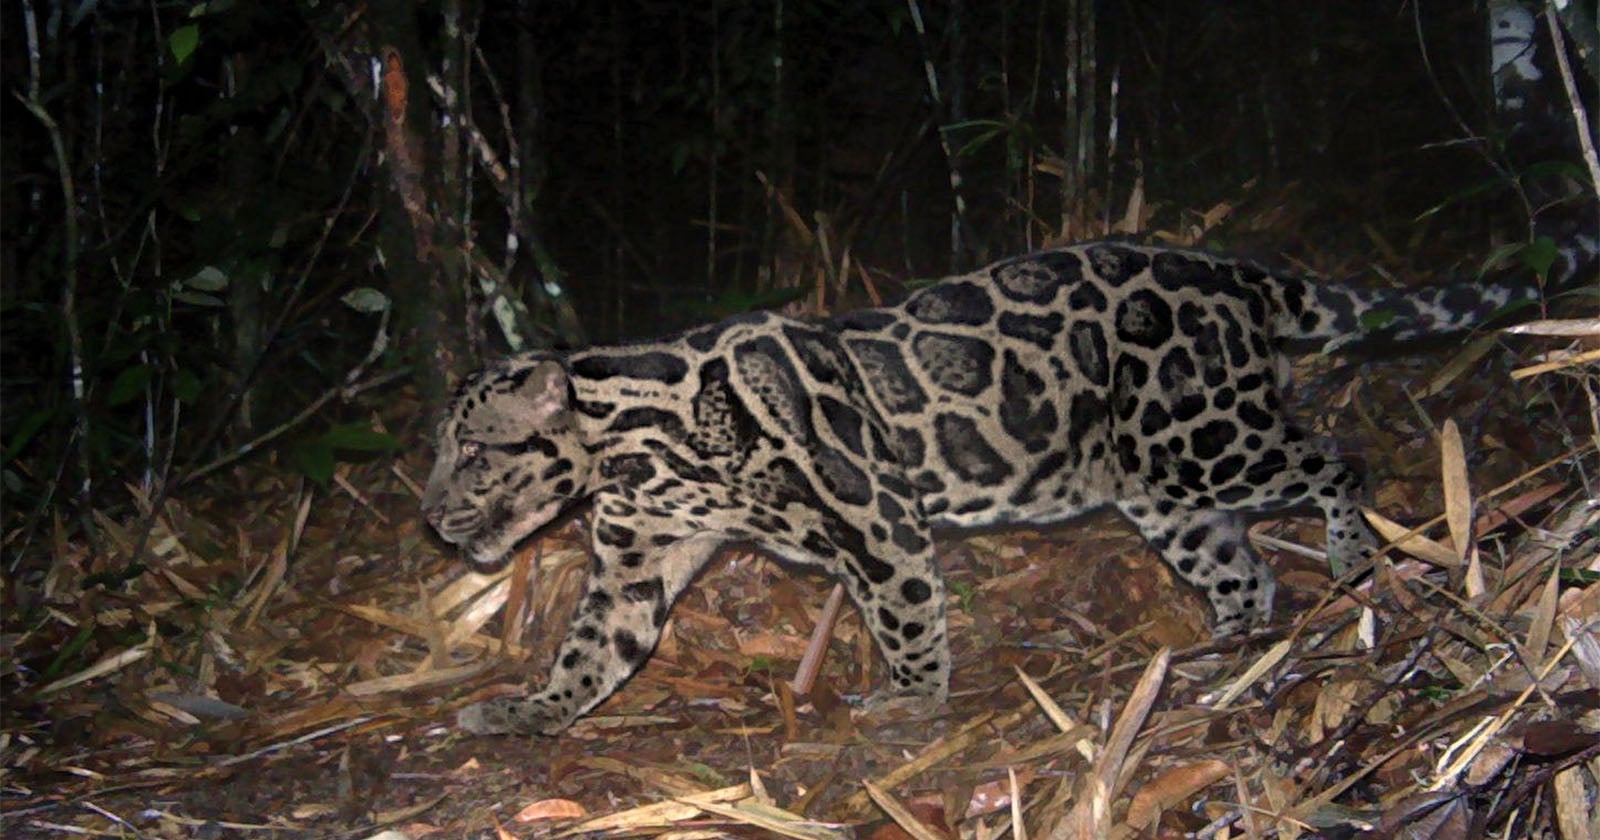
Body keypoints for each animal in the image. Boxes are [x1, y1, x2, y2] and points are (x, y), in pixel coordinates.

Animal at [422, 240, 1537, 735]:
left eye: (470, 450)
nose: (430, 514)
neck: (639, 443)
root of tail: (1234, 269)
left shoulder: (875, 517)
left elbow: (908, 616)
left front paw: (911, 703)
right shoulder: (634, 563)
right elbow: (594, 650)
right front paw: (531, 710)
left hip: (1205, 438)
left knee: (1335, 458)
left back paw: (1351, 561)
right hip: (1158, 484)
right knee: (1241, 570)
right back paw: (1219, 655)